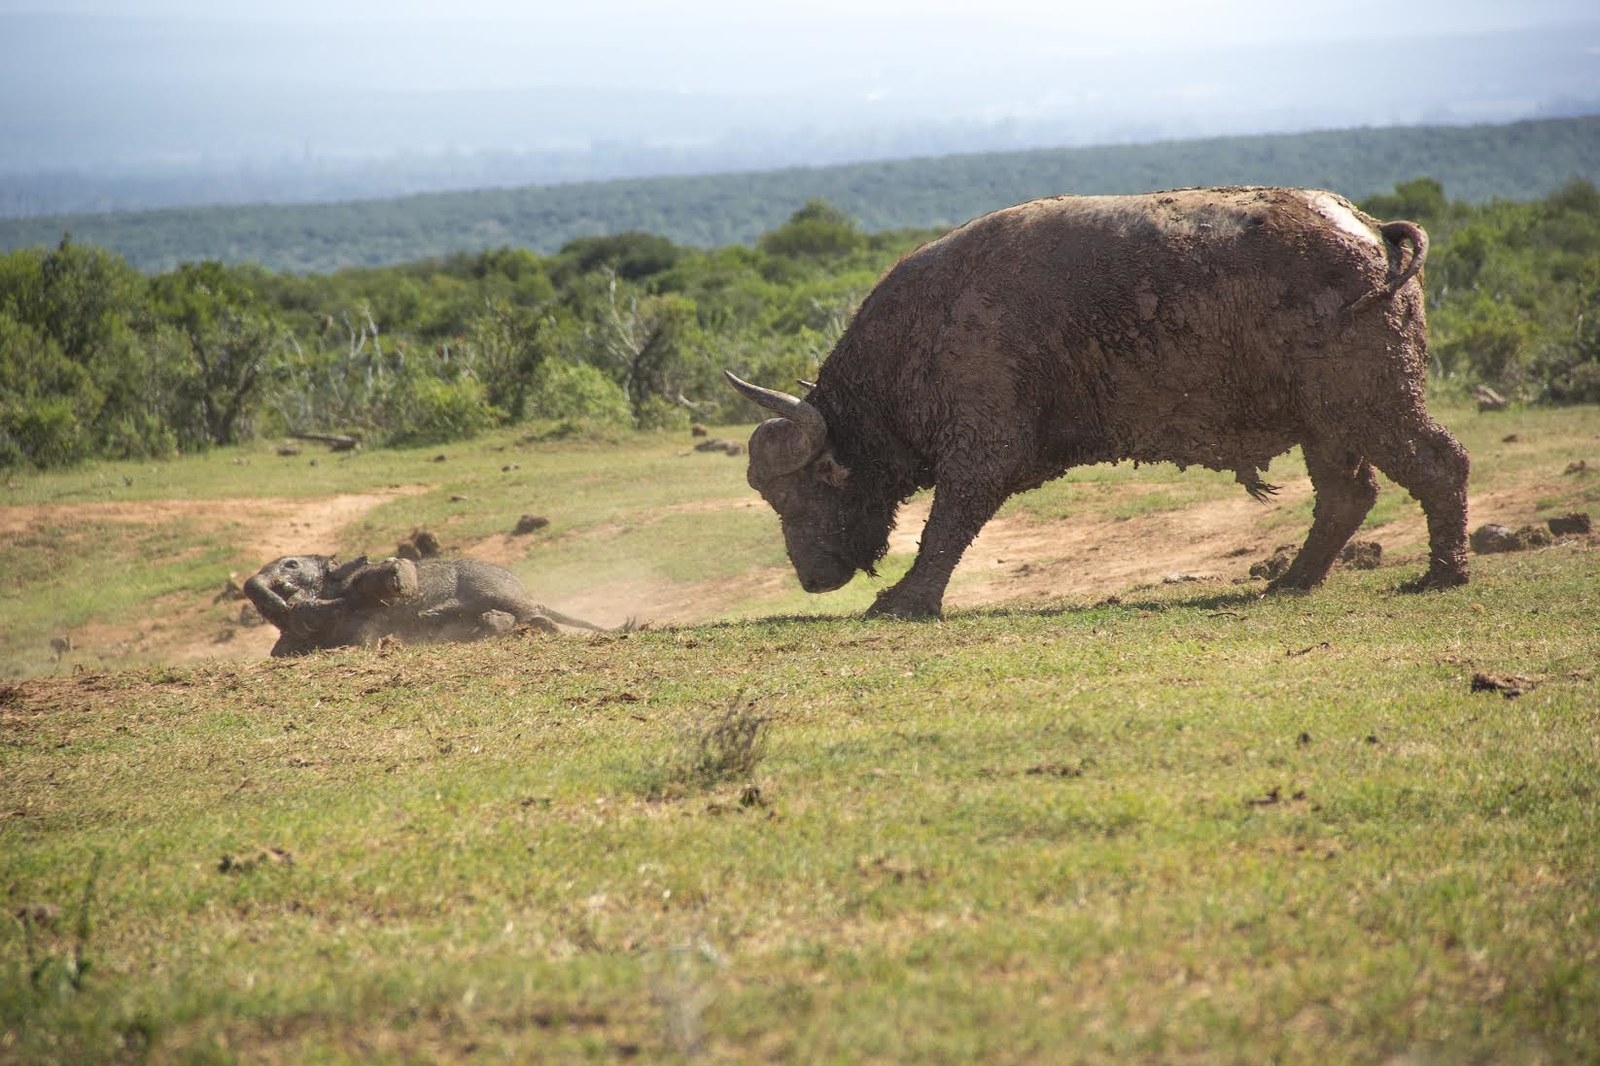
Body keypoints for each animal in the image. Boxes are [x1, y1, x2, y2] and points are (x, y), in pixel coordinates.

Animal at [732, 182, 1465, 614]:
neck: (923, 328)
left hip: (1372, 403)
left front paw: (906, 600)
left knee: (1441, 464)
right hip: (1327, 423)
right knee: (1348, 496)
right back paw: (1292, 580)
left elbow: (946, 525)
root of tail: (1372, 230)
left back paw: (1443, 574)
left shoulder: (982, 450)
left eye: (807, 490)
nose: (811, 579)